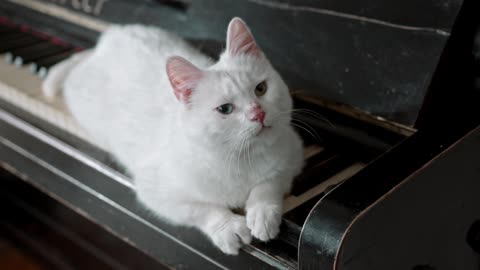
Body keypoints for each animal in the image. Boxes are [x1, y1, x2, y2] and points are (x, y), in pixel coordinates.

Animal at [42, 17, 304, 254]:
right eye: (225, 109)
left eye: (261, 89)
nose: (258, 113)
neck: (240, 156)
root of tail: (112, 34)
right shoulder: (154, 191)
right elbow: (201, 208)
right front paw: (228, 226)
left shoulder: (293, 155)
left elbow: (269, 183)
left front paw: (263, 214)